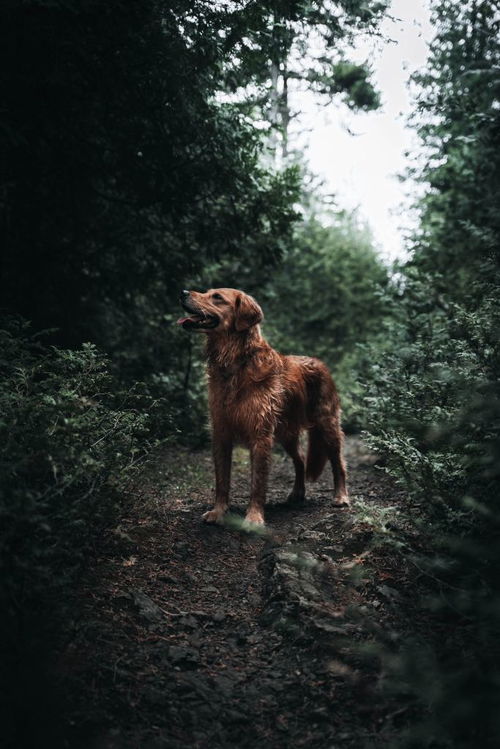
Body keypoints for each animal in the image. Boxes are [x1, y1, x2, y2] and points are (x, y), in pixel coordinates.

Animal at [179, 286, 348, 524]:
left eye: (217, 297)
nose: (183, 292)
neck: (235, 363)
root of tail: (320, 363)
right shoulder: (221, 432)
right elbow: (222, 480)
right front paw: (219, 511)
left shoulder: (260, 434)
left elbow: (257, 482)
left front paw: (253, 517)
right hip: (286, 433)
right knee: (300, 460)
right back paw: (297, 493)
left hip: (327, 425)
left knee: (338, 463)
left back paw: (341, 496)